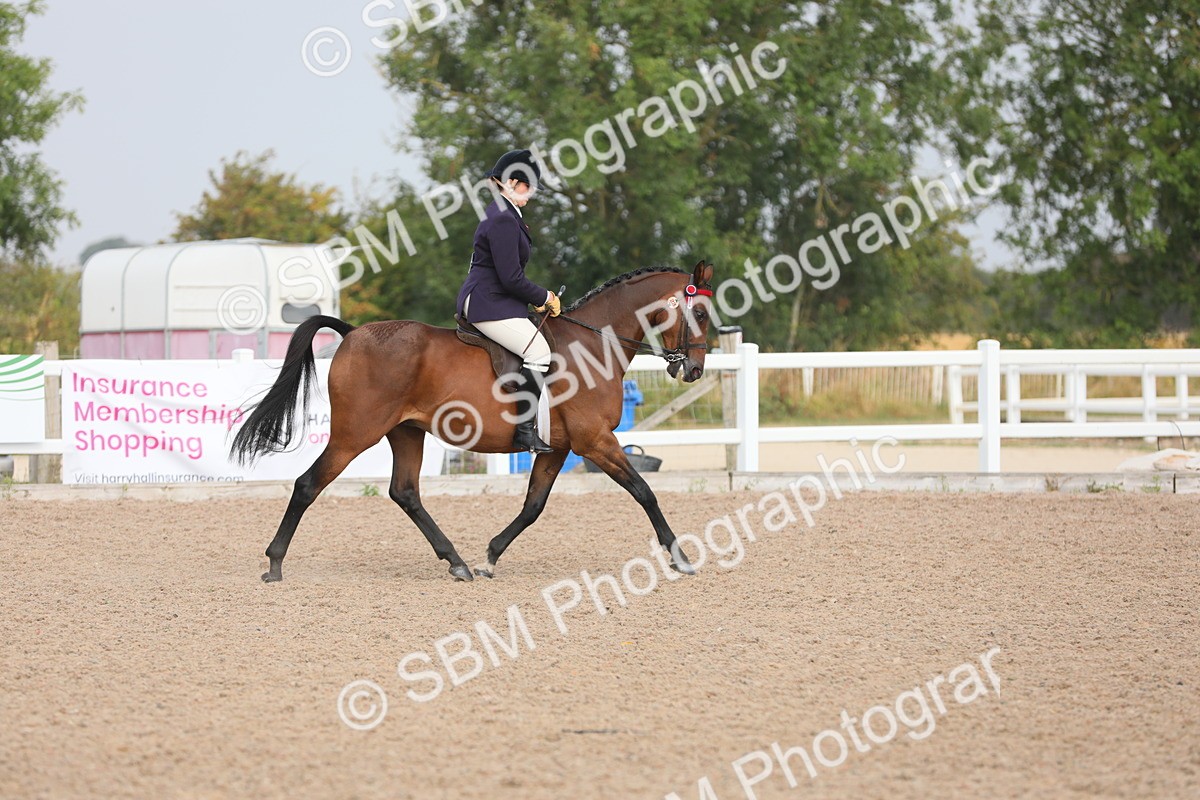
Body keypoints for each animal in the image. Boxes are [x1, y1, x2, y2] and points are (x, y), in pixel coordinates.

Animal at [230, 260, 716, 583]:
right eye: (701, 313)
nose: (694, 370)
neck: (592, 345)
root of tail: (353, 333)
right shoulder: (596, 441)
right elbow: (645, 492)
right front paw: (680, 557)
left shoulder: (558, 447)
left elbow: (533, 506)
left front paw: (490, 557)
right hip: (356, 434)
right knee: (308, 484)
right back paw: (274, 564)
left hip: (405, 433)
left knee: (405, 492)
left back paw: (458, 562)